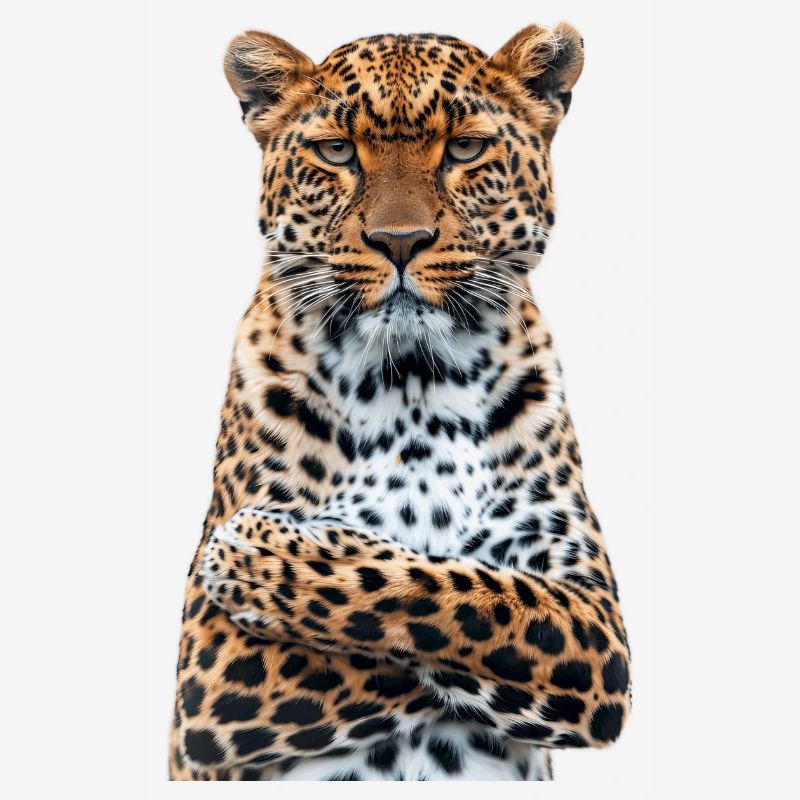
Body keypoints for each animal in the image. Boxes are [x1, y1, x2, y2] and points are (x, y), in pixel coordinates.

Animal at [169, 23, 632, 781]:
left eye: (465, 149)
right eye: (336, 151)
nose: (400, 242)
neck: (411, 381)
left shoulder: (592, 615)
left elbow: (447, 592)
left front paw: (257, 554)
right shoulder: (209, 670)